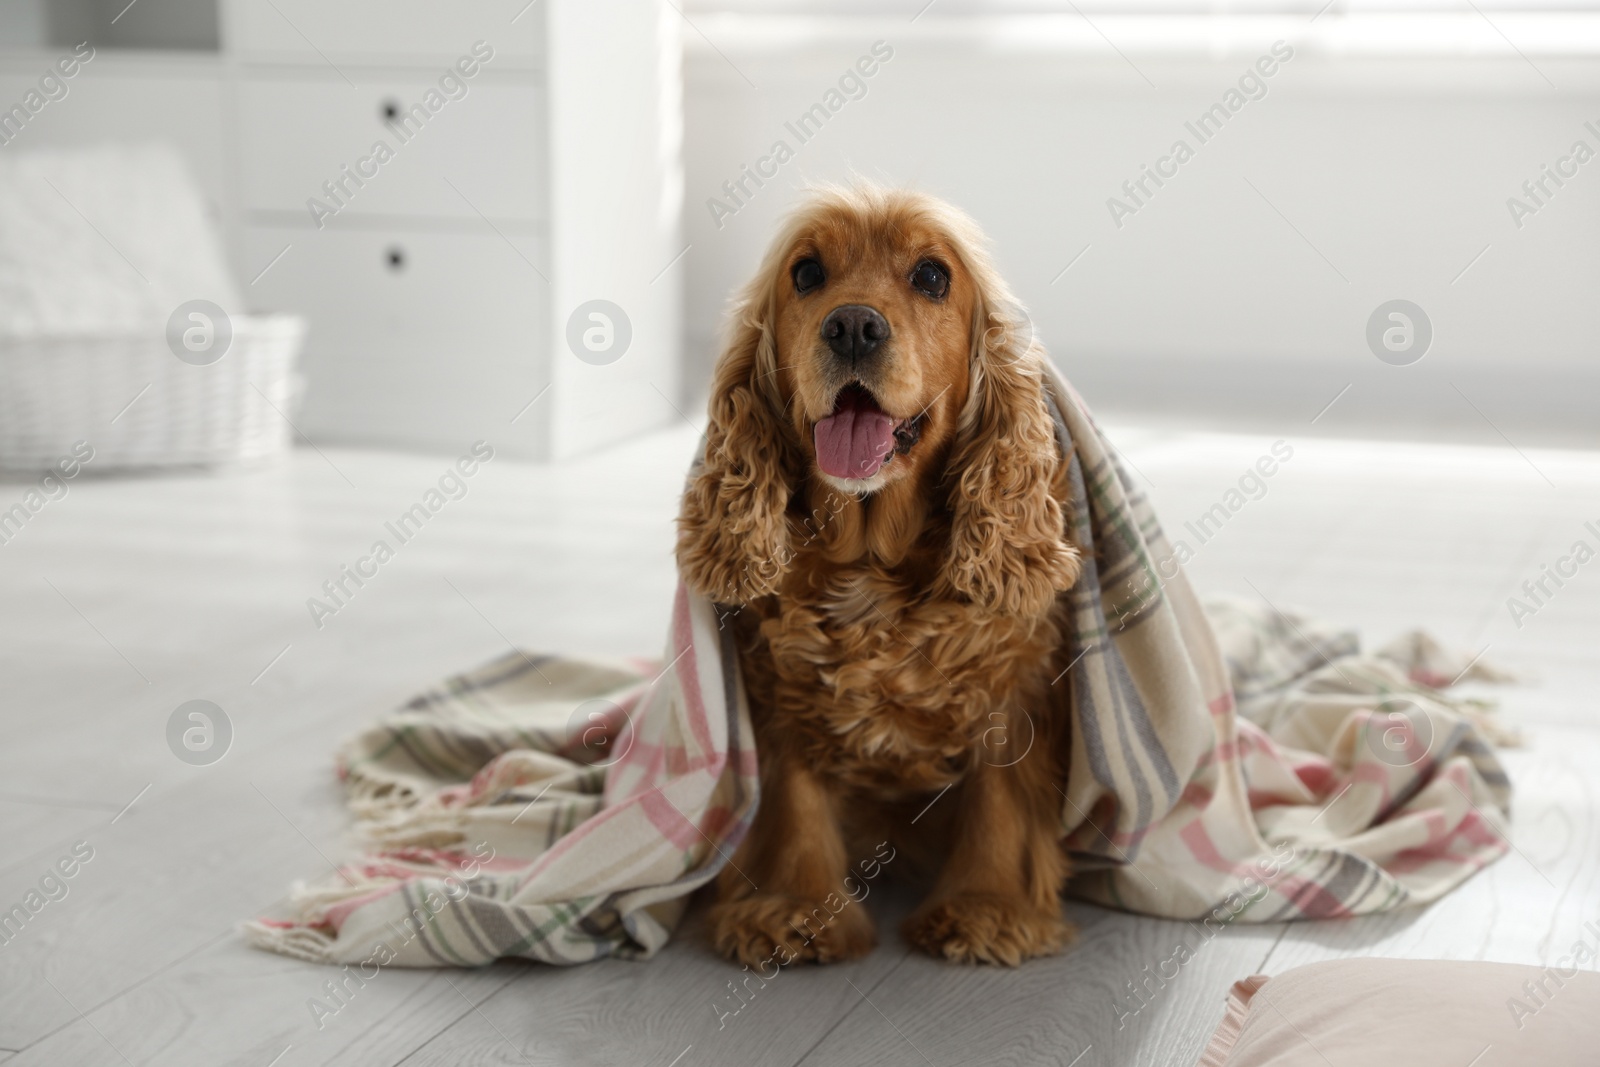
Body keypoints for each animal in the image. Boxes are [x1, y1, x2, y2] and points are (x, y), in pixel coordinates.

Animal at [678, 185, 1088, 966]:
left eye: (931, 276)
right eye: (807, 273)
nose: (853, 326)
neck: (871, 556)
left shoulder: (1017, 683)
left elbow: (1001, 797)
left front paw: (986, 908)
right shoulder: (777, 687)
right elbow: (791, 796)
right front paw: (793, 910)